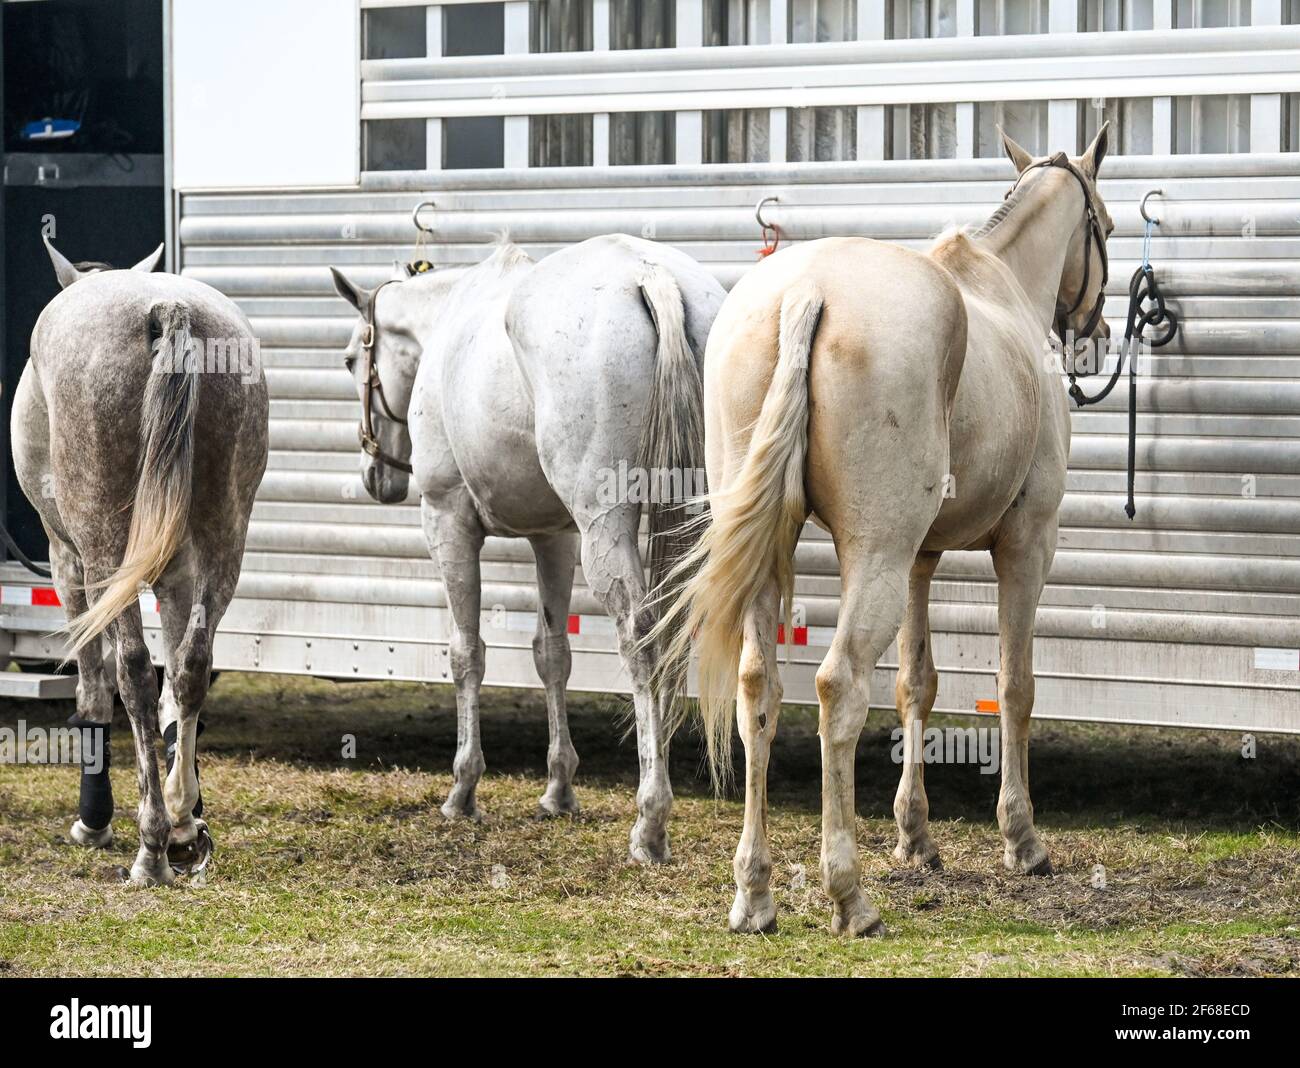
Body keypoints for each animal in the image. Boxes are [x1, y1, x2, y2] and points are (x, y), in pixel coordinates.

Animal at [9, 240, 269, 888]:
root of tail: (163, 306)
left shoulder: (68, 564)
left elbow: (94, 685)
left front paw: (95, 821)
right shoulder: (177, 578)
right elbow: (178, 678)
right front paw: (189, 820)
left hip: (104, 548)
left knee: (131, 671)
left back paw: (150, 846)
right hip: (224, 539)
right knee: (191, 668)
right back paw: (173, 816)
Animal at [330, 236, 728, 867]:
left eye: (350, 360)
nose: (376, 475)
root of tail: (651, 276)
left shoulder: (448, 522)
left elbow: (467, 653)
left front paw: (463, 789)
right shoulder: (554, 537)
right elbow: (552, 654)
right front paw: (559, 787)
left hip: (604, 526)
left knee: (641, 640)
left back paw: (650, 820)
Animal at [660, 125, 1118, 935]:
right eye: (1109, 227)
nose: (1096, 325)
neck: (1002, 286)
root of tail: (806, 292)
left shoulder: (919, 560)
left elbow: (916, 685)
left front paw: (916, 836)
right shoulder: (1026, 547)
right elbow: (1016, 685)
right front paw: (1022, 839)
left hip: (788, 559)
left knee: (757, 690)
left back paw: (755, 893)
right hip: (873, 555)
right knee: (838, 685)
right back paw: (849, 896)